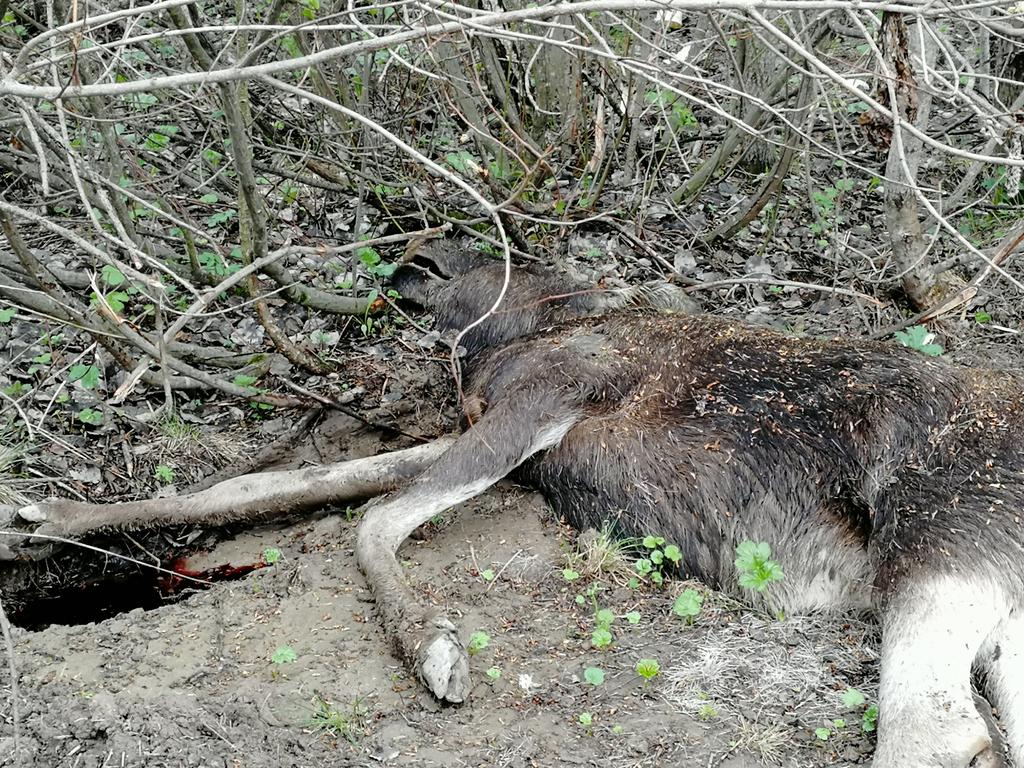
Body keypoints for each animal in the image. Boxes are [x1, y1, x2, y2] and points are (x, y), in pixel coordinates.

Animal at [8, 245, 1024, 768]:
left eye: (511, 258)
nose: (408, 262)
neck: (512, 333)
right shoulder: (499, 429)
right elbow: (263, 487)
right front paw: (43, 518)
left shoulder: (545, 400)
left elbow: (370, 522)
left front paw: (430, 643)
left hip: (937, 538)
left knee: (933, 732)